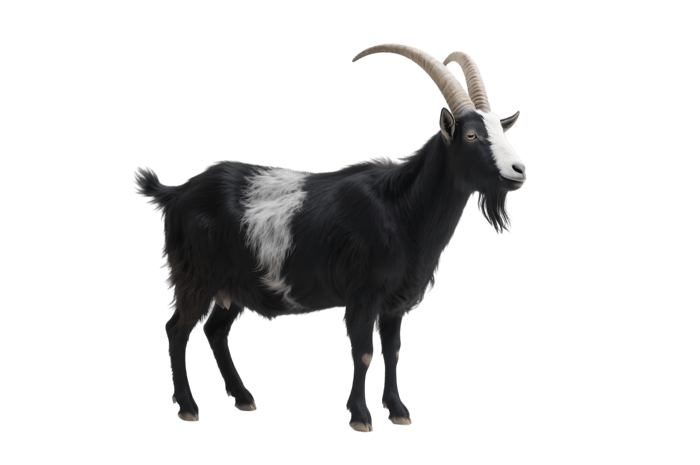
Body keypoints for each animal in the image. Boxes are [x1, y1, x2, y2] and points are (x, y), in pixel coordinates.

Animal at [133, 43, 527, 433]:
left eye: (502, 131)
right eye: (471, 135)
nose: (519, 171)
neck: (400, 209)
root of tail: (178, 193)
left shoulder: (394, 301)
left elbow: (392, 351)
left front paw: (398, 410)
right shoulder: (362, 293)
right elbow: (363, 352)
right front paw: (361, 417)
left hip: (232, 285)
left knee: (215, 331)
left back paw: (243, 398)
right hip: (196, 275)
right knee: (177, 330)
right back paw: (188, 407)